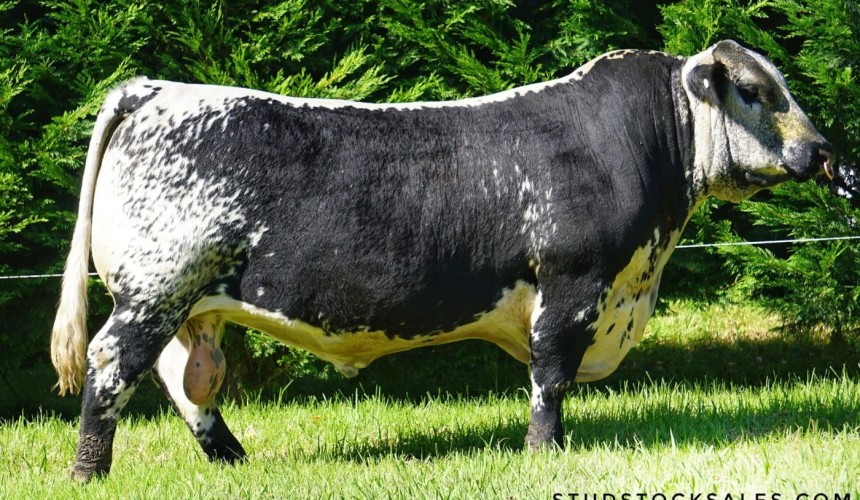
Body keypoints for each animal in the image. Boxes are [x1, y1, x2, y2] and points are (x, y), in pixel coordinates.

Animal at [51, 40, 832, 481]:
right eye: (755, 92)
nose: (821, 151)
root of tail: (153, 89)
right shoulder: (572, 285)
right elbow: (550, 379)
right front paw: (544, 454)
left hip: (187, 304)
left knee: (187, 384)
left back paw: (234, 462)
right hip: (156, 289)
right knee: (112, 366)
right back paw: (90, 471)